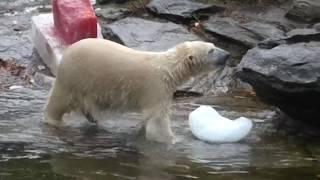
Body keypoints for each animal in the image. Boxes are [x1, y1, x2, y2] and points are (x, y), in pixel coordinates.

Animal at [44, 39, 230, 143]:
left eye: (214, 45)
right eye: (211, 50)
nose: (227, 55)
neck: (169, 69)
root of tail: (66, 52)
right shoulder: (156, 87)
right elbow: (157, 122)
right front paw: (174, 140)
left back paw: (92, 117)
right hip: (75, 76)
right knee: (59, 101)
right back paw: (53, 120)